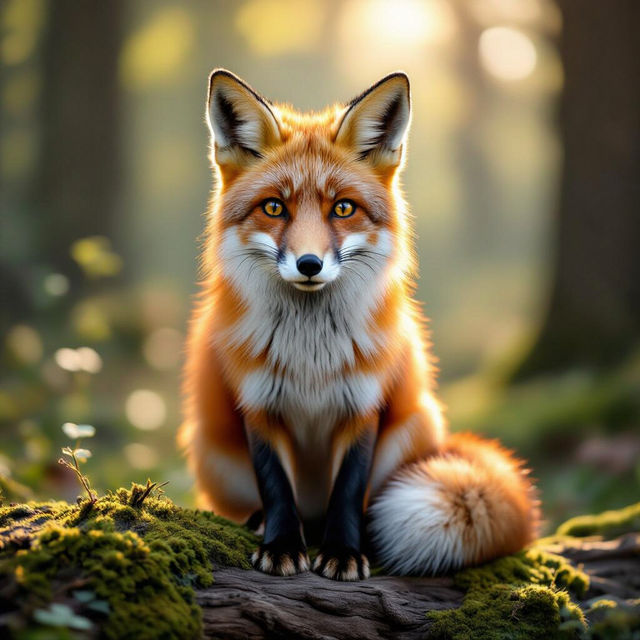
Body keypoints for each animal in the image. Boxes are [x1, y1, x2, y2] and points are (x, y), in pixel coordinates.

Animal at [179, 69, 540, 581]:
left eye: (343, 209)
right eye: (274, 208)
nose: (309, 264)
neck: (310, 356)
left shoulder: (364, 403)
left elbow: (349, 490)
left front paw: (344, 552)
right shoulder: (258, 403)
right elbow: (276, 486)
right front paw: (282, 546)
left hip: (417, 422)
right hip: (209, 447)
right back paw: (264, 523)